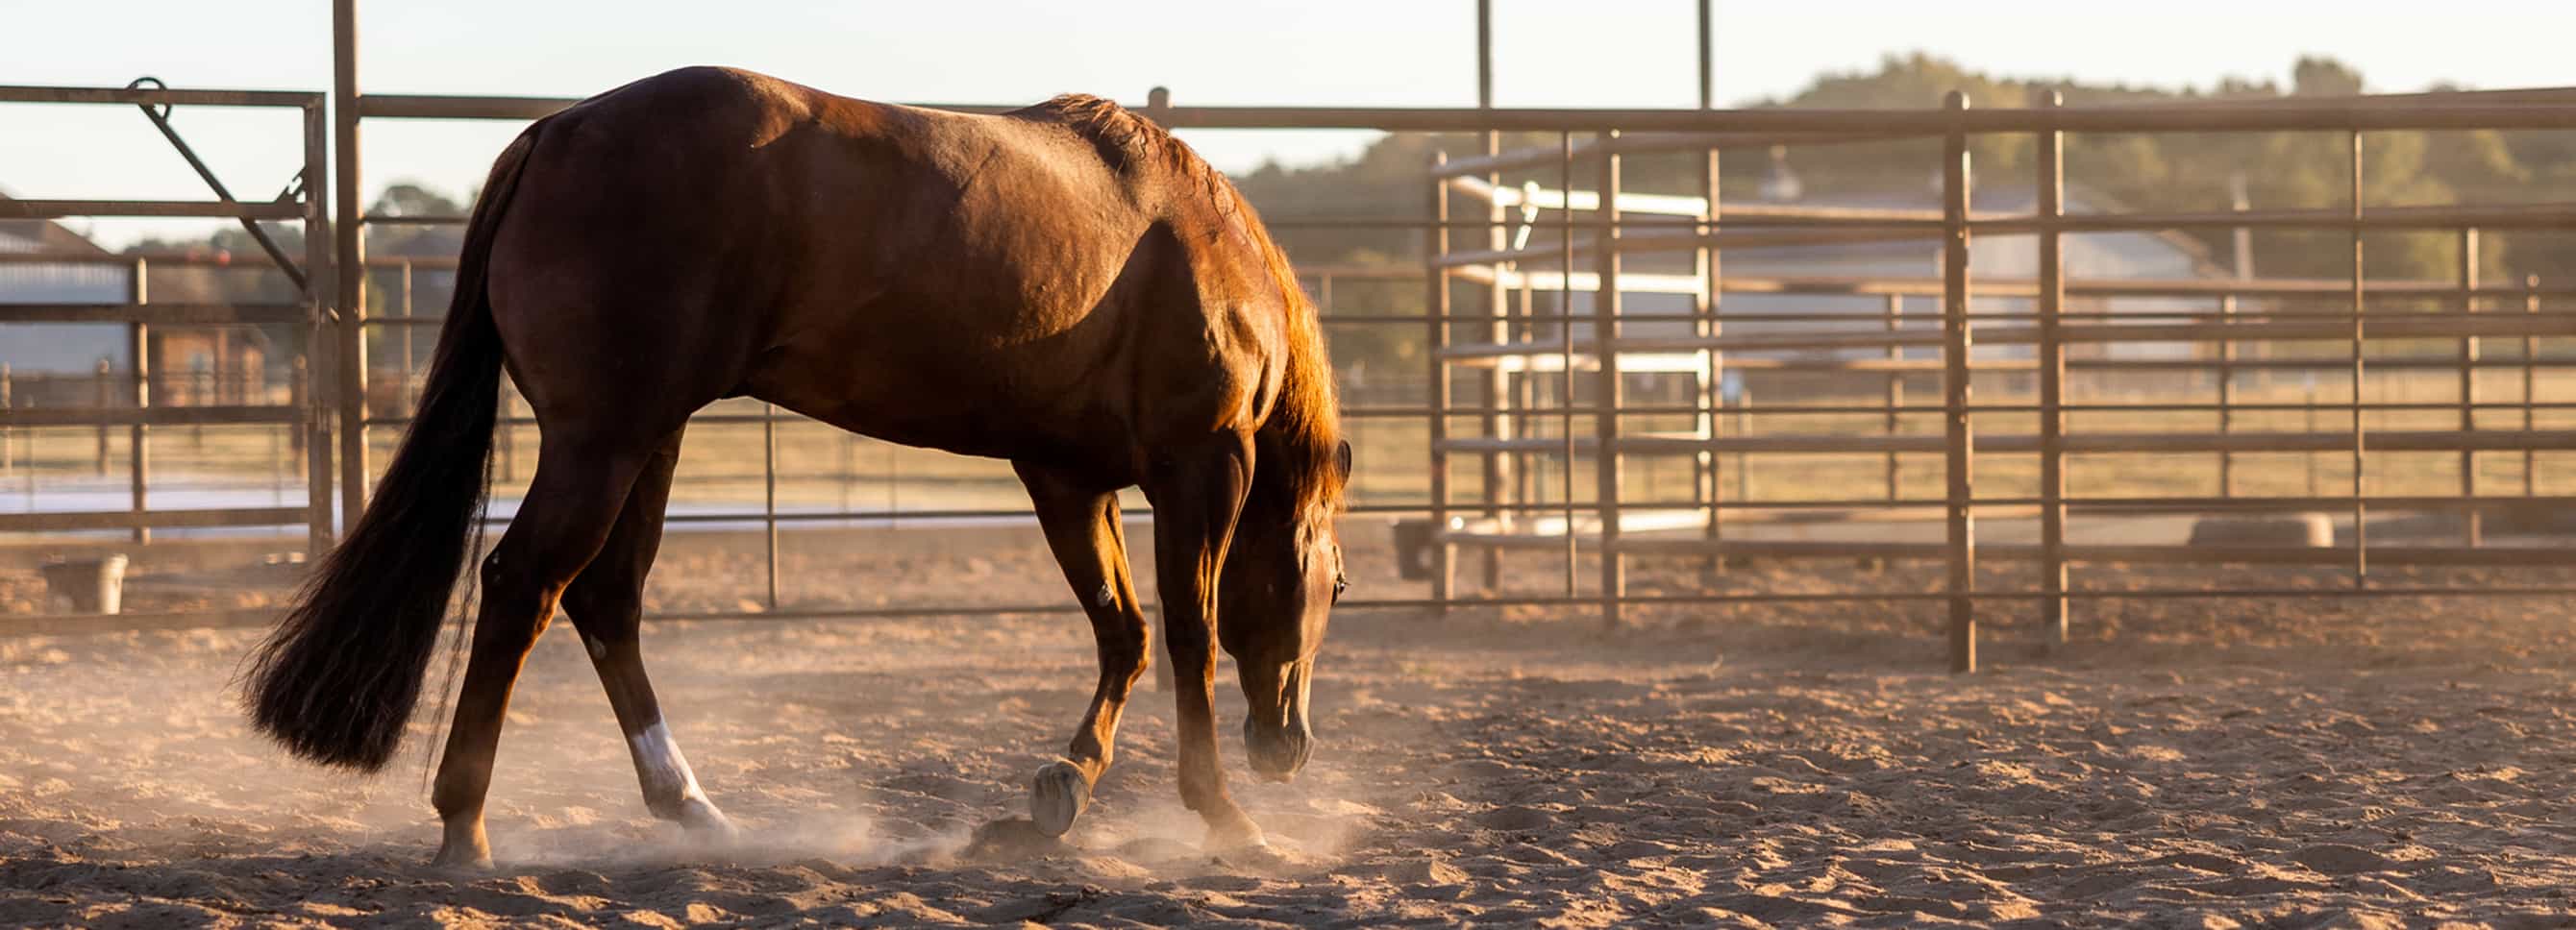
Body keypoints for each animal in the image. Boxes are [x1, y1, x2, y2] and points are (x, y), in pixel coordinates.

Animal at [242, 66, 1350, 869]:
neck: (1194, 243)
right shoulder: (1200, 466)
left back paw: (691, 806)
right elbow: (1190, 635)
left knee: (606, 600)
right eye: (1337, 583)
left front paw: (1057, 794)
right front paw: (1222, 814)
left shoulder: (1064, 479)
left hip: (648, 442)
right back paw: (465, 826)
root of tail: (556, 133)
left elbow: (1123, 634)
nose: (1290, 747)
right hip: (602, 444)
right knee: (525, 586)